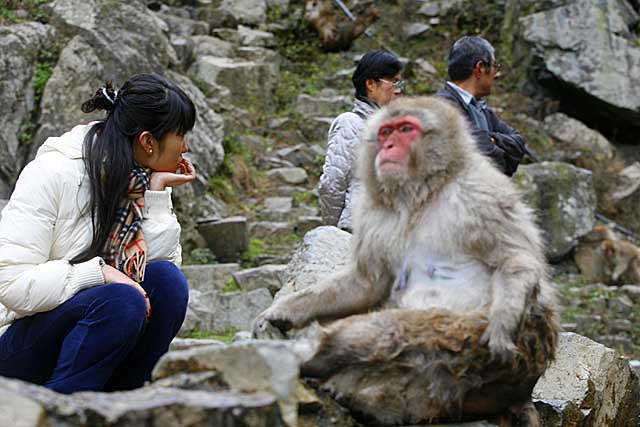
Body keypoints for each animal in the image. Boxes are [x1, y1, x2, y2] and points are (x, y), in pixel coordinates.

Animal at [252, 97, 556, 427]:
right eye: (386, 132)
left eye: (406, 129)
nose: (387, 147)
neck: (420, 196)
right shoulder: (373, 215)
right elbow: (366, 284)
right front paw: (285, 310)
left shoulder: (482, 194)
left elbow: (515, 261)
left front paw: (501, 325)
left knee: (401, 330)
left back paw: (313, 356)